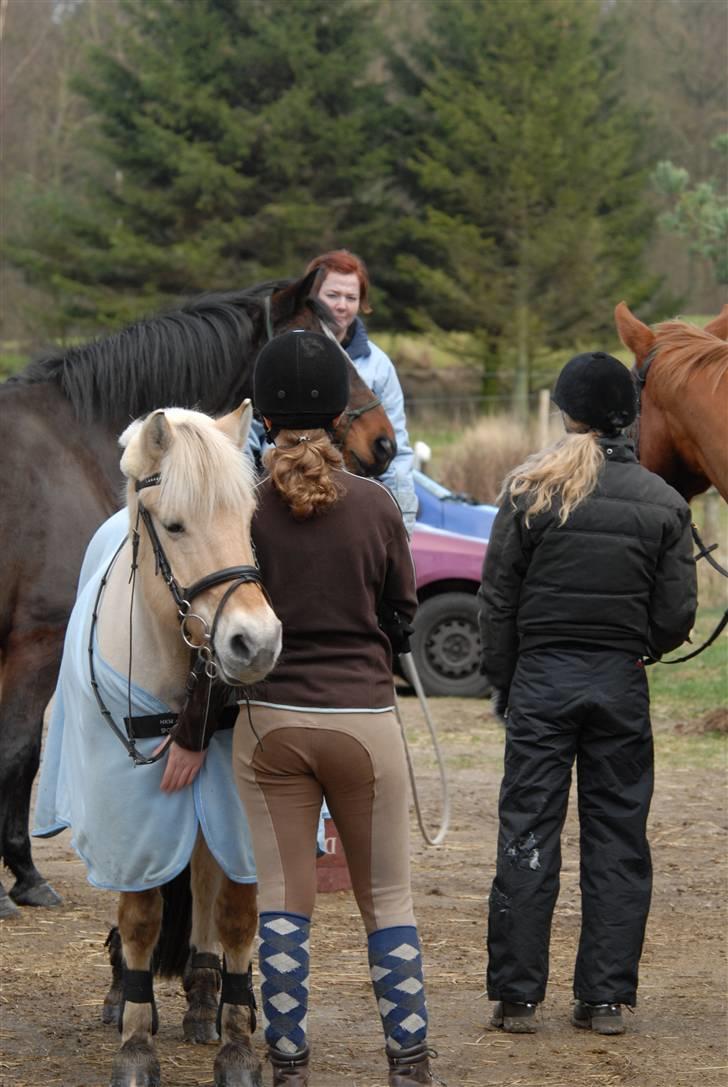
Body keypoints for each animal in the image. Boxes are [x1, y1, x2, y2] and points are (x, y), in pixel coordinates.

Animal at [0, 269, 395, 917]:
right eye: (321, 344)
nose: (383, 441)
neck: (68, 441)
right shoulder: (35, 643)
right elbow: (18, 752)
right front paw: (23, 875)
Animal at [36, 402, 282, 1087]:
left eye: (247, 522)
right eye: (174, 525)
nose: (255, 643)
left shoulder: (238, 809)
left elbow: (235, 912)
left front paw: (236, 1045)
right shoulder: (129, 810)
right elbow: (141, 916)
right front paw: (136, 1043)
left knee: (201, 879)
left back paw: (202, 995)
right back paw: (123, 989)